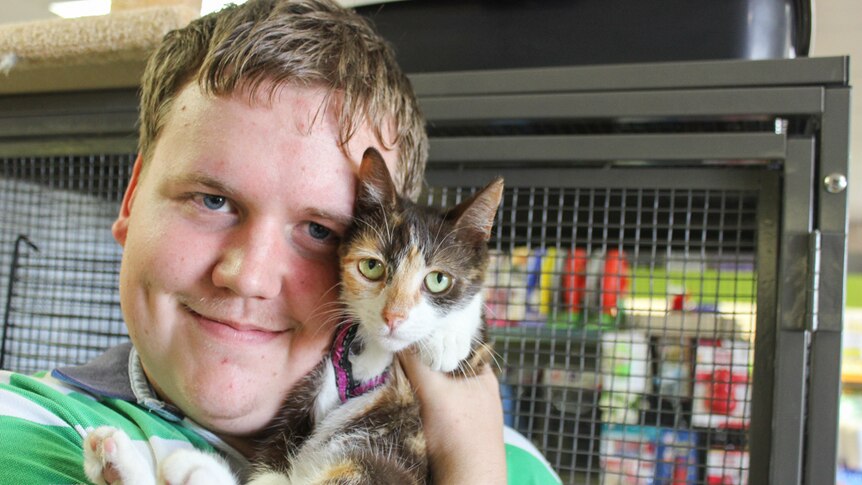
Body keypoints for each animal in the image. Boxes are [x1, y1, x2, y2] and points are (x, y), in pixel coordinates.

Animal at [83, 148, 502, 484]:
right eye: (372, 267)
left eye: (438, 279)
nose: (393, 316)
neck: (371, 354)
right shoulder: (301, 404)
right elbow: (272, 465)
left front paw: (449, 339)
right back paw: (123, 459)